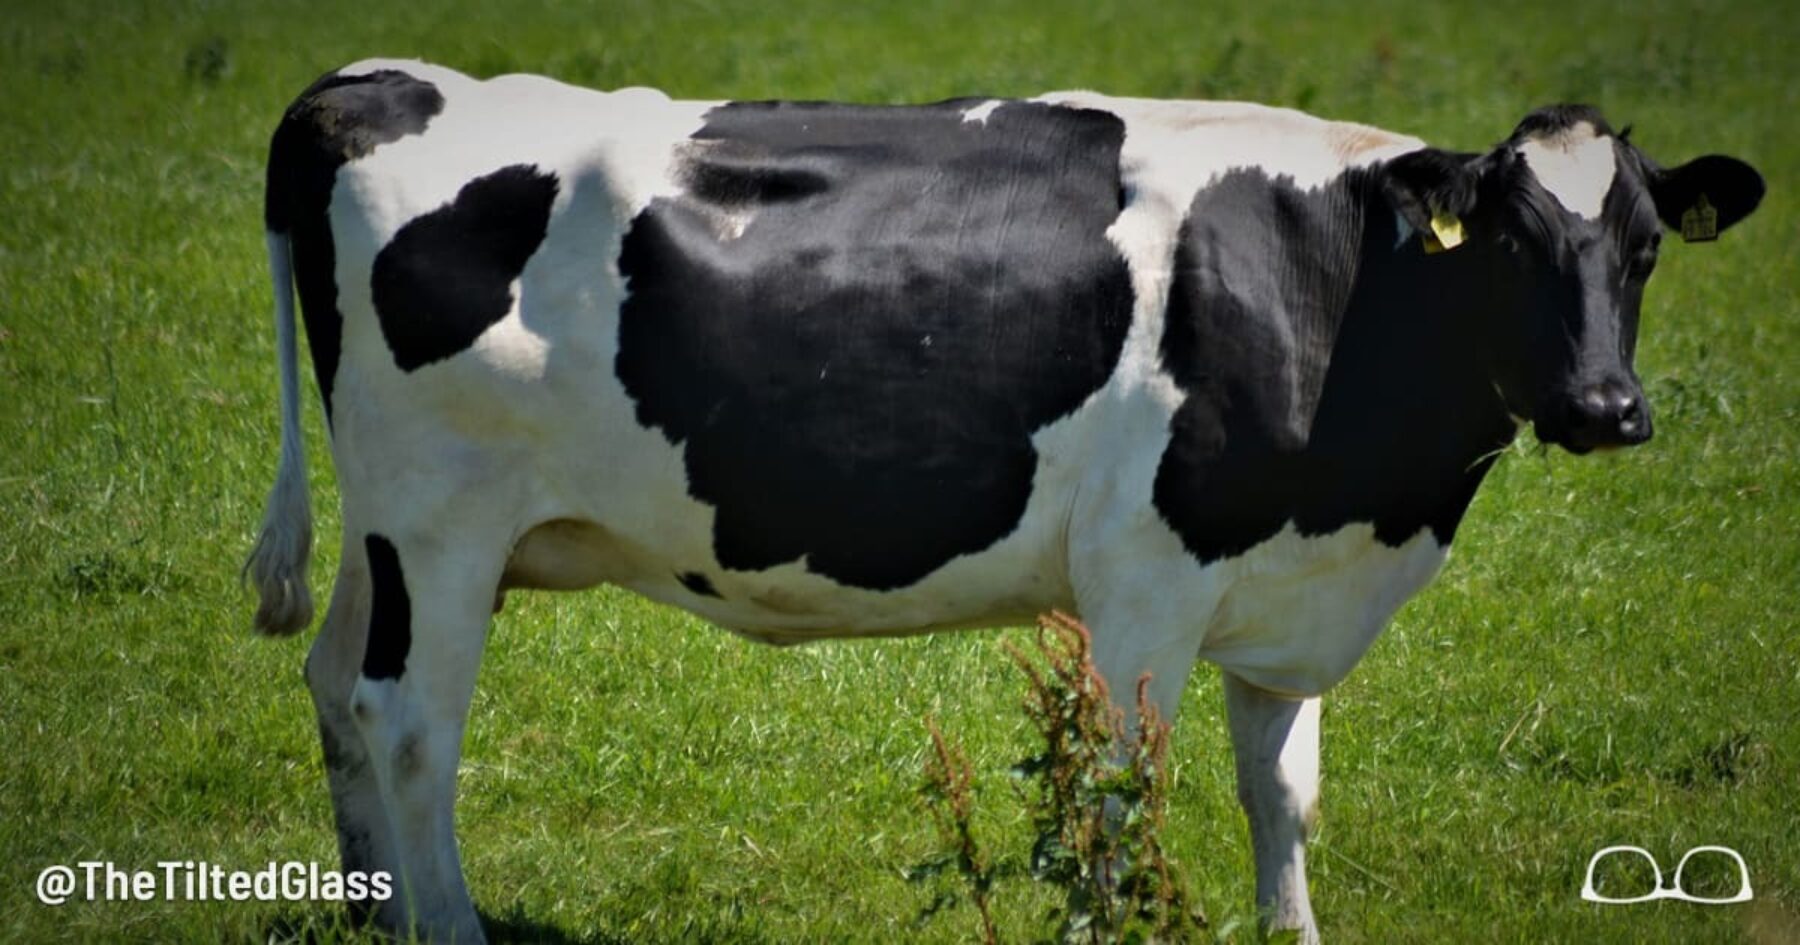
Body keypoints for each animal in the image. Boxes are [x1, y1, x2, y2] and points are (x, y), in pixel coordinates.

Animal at [244, 58, 1763, 943]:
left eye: (1641, 248)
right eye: (1508, 241)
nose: (1607, 409)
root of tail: (370, 80)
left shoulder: (1287, 582)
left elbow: (1283, 798)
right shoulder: (1145, 577)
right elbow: (1119, 795)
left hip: (390, 532)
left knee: (332, 682)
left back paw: (372, 912)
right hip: (437, 520)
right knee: (409, 716)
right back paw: (444, 927)